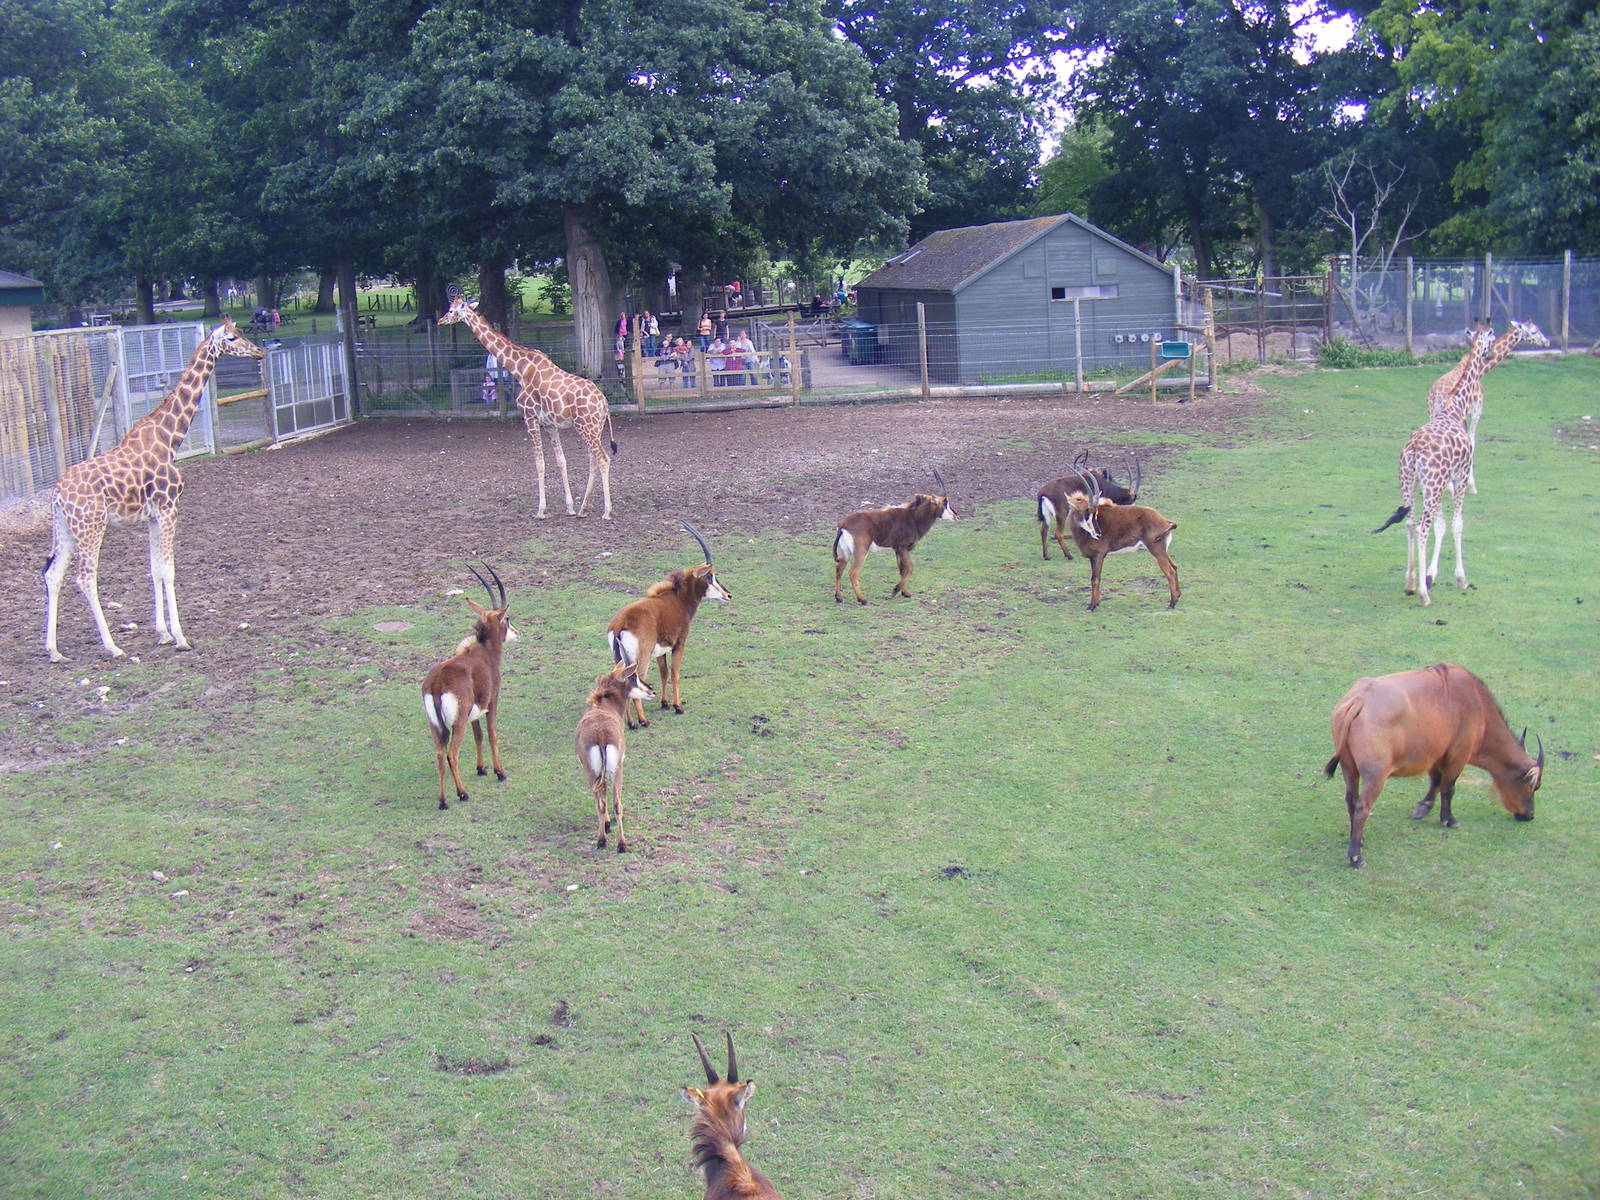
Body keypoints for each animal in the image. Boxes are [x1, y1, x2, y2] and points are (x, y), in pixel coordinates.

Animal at [42, 317, 265, 661]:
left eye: (241, 334)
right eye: (231, 337)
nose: (258, 352)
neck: (170, 438)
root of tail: (56, 495)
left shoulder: (152, 516)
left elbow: (154, 568)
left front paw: (162, 633)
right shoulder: (169, 508)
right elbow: (169, 570)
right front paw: (181, 637)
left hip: (66, 530)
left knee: (53, 575)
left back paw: (53, 650)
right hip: (91, 527)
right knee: (85, 577)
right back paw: (112, 646)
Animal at [437, 294, 617, 520]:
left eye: (451, 310)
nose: (440, 321)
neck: (520, 369)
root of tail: (604, 402)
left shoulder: (529, 418)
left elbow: (539, 463)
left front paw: (540, 510)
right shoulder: (549, 424)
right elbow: (561, 461)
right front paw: (569, 507)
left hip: (586, 426)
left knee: (603, 459)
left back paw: (607, 511)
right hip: (594, 427)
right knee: (593, 459)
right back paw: (583, 509)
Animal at [1374, 414, 1476, 607]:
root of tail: (1414, 450)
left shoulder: (1441, 484)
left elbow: (1441, 525)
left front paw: (1430, 574)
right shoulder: (1461, 476)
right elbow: (1457, 523)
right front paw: (1461, 578)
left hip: (1409, 482)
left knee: (1410, 524)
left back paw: (1410, 584)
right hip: (1432, 484)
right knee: (1422, 528)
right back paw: (1423, 594)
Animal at [1428, 319, 1550, 494]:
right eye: (1534, 331)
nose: (1547, 342)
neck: (1479, 371)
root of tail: (1437, 395)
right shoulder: (1476, 409)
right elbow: (1472, 441)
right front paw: (1471, 486)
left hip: (1432, 413)